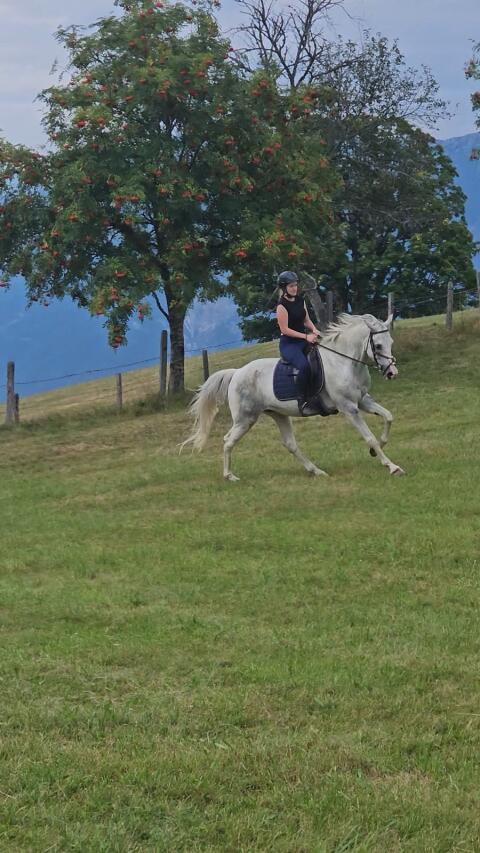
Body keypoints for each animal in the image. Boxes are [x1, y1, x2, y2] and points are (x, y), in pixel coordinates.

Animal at [181, 312, 405, 480]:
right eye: (378, 346)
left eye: (391, 341)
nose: (392, 373)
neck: (344, 362)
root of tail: (236, 373)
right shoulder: (348, 407)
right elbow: (369, 437)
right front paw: (391, 466)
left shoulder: (363, 400)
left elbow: (389, 417)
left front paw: (378, 449)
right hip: (246, 418)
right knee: (228, 440)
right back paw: (229, 476)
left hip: (278, 414)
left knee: (290, 444)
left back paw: (317, 471)